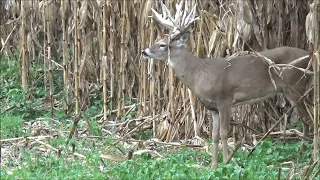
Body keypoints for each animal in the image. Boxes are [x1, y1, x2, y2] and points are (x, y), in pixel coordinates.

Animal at [142, 0, 312, 168]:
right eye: (157, 40)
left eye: (163, 44)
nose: (144, 51)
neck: (199, 73)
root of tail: (310, 56)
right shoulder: (212, 107)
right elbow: (214, 135)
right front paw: (213, 165)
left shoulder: (225, 99)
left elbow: (224, 132)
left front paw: (226, 161)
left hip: (295, 86)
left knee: (306, 118)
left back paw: (303, 151)